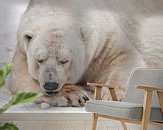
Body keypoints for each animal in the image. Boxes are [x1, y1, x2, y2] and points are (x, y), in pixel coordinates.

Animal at [9, 0, 163, 106]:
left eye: (64, 60)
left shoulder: (105, 41)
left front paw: (110, 95)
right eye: (39, 60)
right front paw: (74, 95)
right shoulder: (22, 48)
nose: (50, 85)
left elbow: (125, 58)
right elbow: (21, 78)